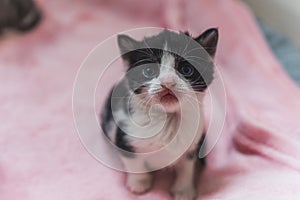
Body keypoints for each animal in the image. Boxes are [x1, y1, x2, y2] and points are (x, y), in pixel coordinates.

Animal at [101, 28, 218, 200]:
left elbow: (187, 166)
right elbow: (134, 163)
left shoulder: (193, 144)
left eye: (186, 70)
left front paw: (183, 190)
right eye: (149, 70)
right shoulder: (124, 136)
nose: (167, 82)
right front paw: (139, 183)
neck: (168, 117)